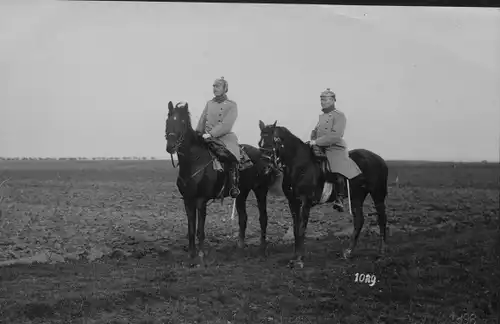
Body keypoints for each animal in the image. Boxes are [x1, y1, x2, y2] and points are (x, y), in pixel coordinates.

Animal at [165, 100, 280, 258]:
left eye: (183, 122)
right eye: (168, 120)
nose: (170, 146)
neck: (194, 162)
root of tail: (264, 156)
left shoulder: (201, 200)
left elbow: (200, 229)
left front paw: (200, 253)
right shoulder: (187, 200)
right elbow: (191, 228)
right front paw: (191, 253)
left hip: (260, 191)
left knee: (263, 218)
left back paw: (262, 248)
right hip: (241, 193)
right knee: (243, 217)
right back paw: (240, 246)